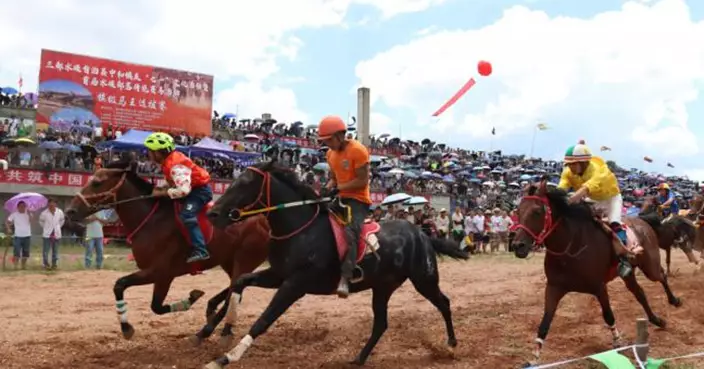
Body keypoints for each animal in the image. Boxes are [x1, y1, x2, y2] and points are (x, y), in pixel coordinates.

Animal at [64, 160, 270, 344]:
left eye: (97, 183)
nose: (70, 211)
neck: (151, 221)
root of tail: (263, 219)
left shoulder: (161, 273)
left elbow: (143, 298)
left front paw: (127, 327)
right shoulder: (155, 273)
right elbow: (128, 291)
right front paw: (193, 297)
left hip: (244, 259)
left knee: (233, 294)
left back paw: (212, 331)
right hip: (229, 261)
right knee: (236, 288)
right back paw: (214, 313)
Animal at [204, 160, 468, 366]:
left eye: (245, 184)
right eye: (233, 181)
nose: (213, 214)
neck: (301, 230)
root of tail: (422, 234)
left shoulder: (295, 284)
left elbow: (263, 320)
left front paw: (226, 357)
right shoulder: (278, 275)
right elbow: (240, 281)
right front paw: (217, 328)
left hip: (424, 279)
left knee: (444, 303)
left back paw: (452, 344)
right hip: (383, 287)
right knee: (381, 323)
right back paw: (359, 358)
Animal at [512, 180, 680, 366]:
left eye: (537, 211)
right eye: (518, 211)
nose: (518, 246)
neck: (571, 247)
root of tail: (642, 220)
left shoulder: (599, 287)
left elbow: (608, 315)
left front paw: (618, 342)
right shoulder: (553, 288)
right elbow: (544, 324)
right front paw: (533, 358)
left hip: (650, 267)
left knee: (662, 275)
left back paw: (674, 300)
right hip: (628, 274)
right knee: (640, 293)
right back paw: (656, 320)